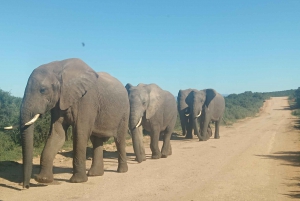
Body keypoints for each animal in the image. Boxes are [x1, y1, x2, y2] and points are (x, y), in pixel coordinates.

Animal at [18, 58, 129, 188]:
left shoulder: (87, 99)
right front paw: (43, 180)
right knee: (96, 140)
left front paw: (78, 181)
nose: (25, 186)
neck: (60, 67)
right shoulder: (60, 101)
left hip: (124, 112)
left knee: (119, 139)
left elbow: (80, 133)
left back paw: (121, 171)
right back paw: (95, 174)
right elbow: (57, 134)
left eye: (43, 90)